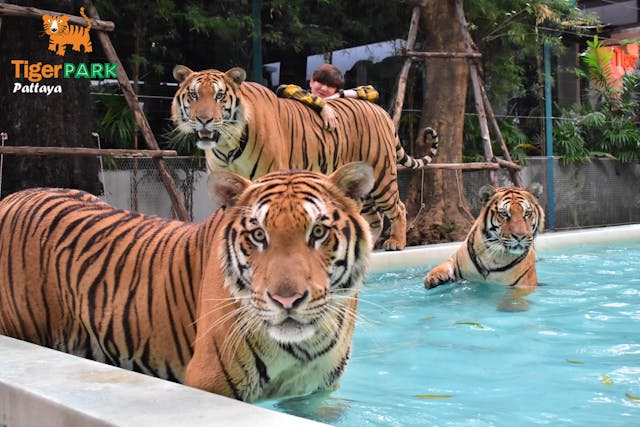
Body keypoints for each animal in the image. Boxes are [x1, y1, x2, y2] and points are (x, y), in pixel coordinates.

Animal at [0, 162, 376, 402]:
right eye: (258, 235)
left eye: (318, 232)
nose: (286, 301)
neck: (303, 347)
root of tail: (13, 196)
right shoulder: (211, 380)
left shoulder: (315, 391)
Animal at [170, 65, 440, 252]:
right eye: (193, 95)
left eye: (219, 96)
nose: (204, 120)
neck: (228, 143)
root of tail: (380, 110)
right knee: (374, 219)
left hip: (382, 174)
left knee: (398, 208)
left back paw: (396, 242)